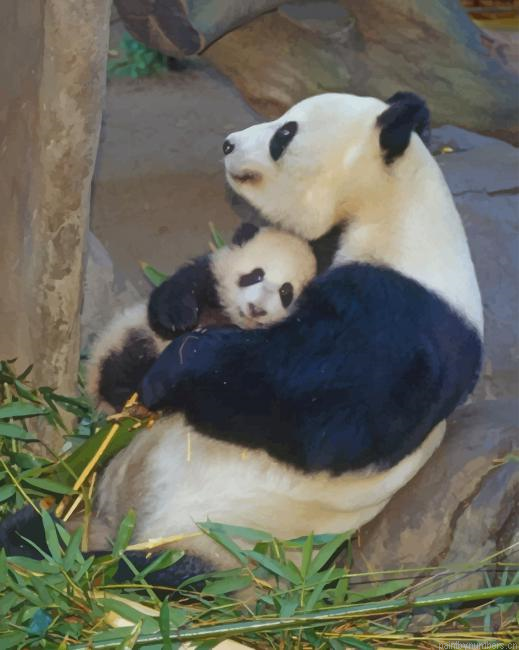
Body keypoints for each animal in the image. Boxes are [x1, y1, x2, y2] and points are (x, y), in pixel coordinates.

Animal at [87, 224, 317, 412]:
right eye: (256, 275)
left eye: (286, 292)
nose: (256, 308)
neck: (232, 318)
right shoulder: (209, 276)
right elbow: (174, 294)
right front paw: (179, 319)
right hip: (127, 340)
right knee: (122, 364)